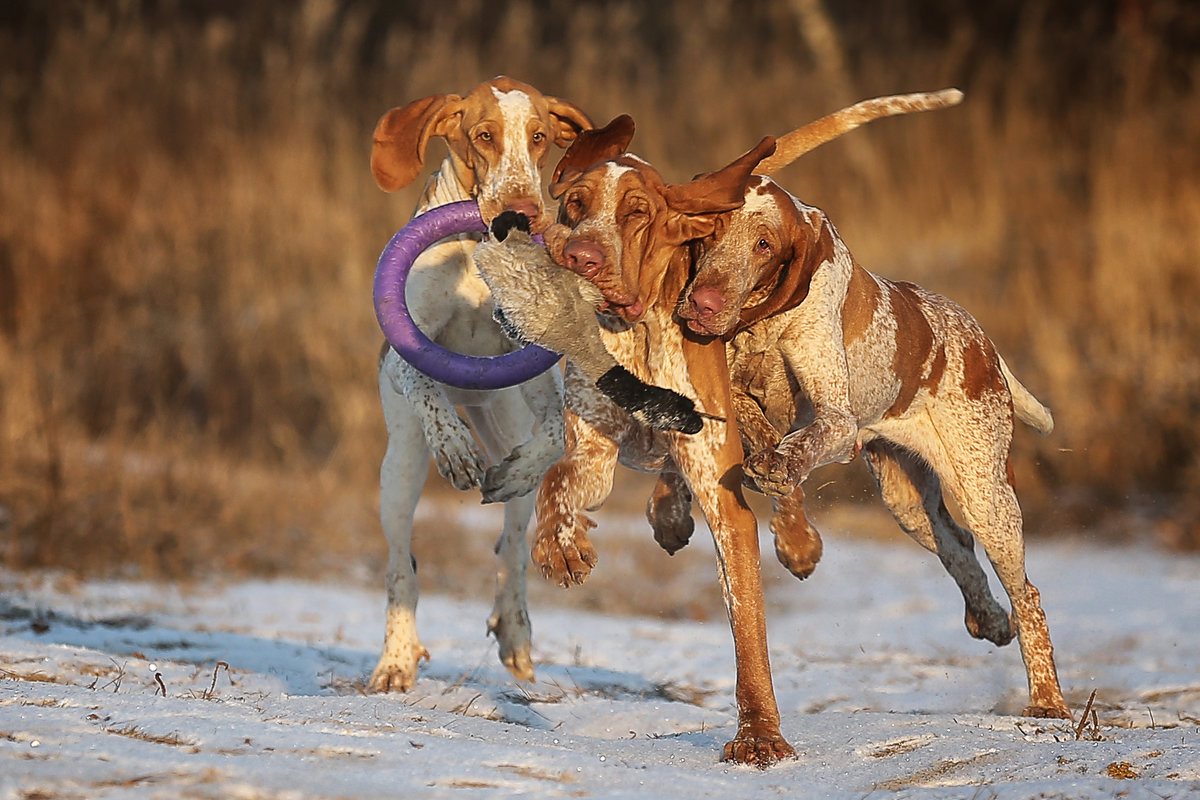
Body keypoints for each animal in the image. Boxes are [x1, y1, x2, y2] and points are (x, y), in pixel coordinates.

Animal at [364, 79, 590, 695]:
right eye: (483, 135)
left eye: (540, 137)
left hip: (506, 427)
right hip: (399, 469)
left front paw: (514, 468)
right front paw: (455, 448)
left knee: (510, 545)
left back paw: (515, 630)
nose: (523, 211)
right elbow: (425, 382)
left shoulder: (534, 368)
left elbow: (557, 433)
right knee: (401, 567)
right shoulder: (402, 353)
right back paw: (395, 660)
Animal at [672, 175, 1075, 719]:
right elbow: (761, 430)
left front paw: (781, 477)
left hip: (985, 496)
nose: (704, 304)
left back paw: (1047, 700)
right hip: (907, 500)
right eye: (712, 229)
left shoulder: (836, 420)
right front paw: (790, 525)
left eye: (764, 245)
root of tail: (982, 343)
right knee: (958, 546)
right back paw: (988, 618)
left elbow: (799, 442)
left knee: (1027, 594)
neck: (760, 325)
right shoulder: (730, 390)